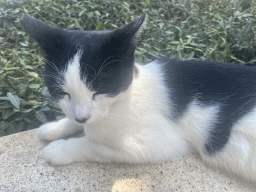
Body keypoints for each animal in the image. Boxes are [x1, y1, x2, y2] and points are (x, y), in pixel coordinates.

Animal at [20, 13, 256, 183]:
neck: (123, 100)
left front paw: (61, 148)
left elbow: (96, 146)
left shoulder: (161, 143)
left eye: (99, 90)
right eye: (63, 92)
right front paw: (56, 127)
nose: (82, 118)